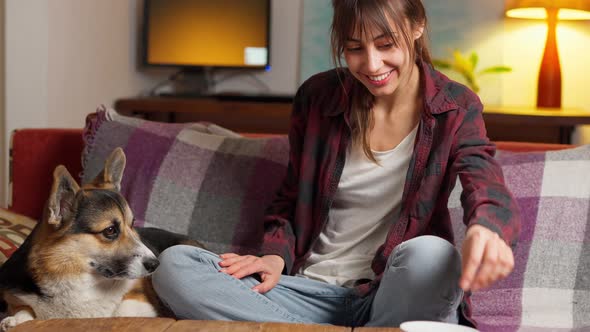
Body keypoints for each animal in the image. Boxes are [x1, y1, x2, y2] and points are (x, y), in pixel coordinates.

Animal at [0, 148, 200, 332]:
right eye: (110, 230)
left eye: (132, 224)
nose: (156, 264)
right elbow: (25, 309)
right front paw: (13, 320)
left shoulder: (137, 300)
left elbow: (120, 311)